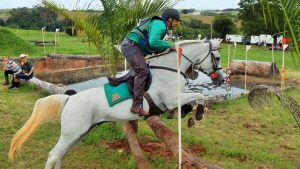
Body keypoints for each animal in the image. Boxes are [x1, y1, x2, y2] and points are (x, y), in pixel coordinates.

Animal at [8, 39, 224, 168]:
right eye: (218, 57)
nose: (222, 79)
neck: (170, 68)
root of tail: (70, 98)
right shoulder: (171, 98)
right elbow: (199, 95)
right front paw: (197, 115)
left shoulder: (173, 100)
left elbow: (194, 97)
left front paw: (187, 115)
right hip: (72, 132)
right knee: (53, 155)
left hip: (78, 134)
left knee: (60, 155)